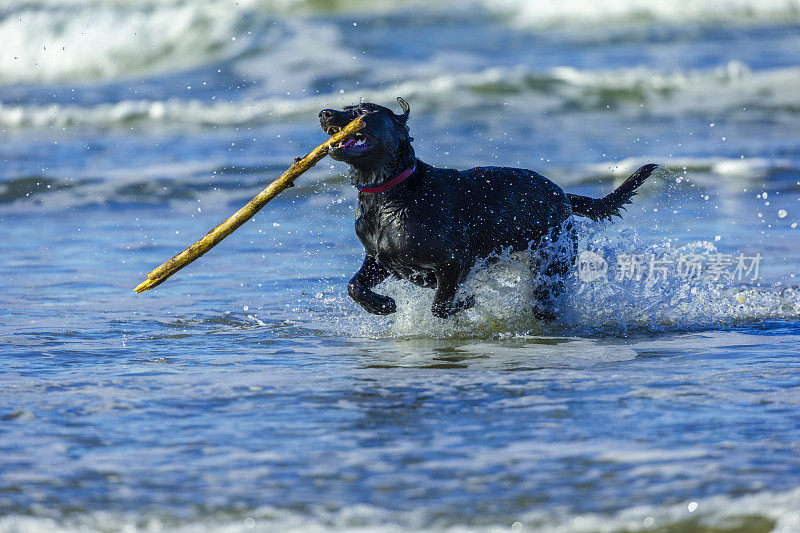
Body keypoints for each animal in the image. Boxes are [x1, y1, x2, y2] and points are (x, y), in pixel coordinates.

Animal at [318, 97, 656, 318]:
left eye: (364, 111)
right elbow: (354, 286)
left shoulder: (454, 258)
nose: (324, 112)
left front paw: (463, 302)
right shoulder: (380, 259)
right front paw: (382, 305)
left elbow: (440, 303)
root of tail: (561, 194)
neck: (390, 195)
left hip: (551, 263)